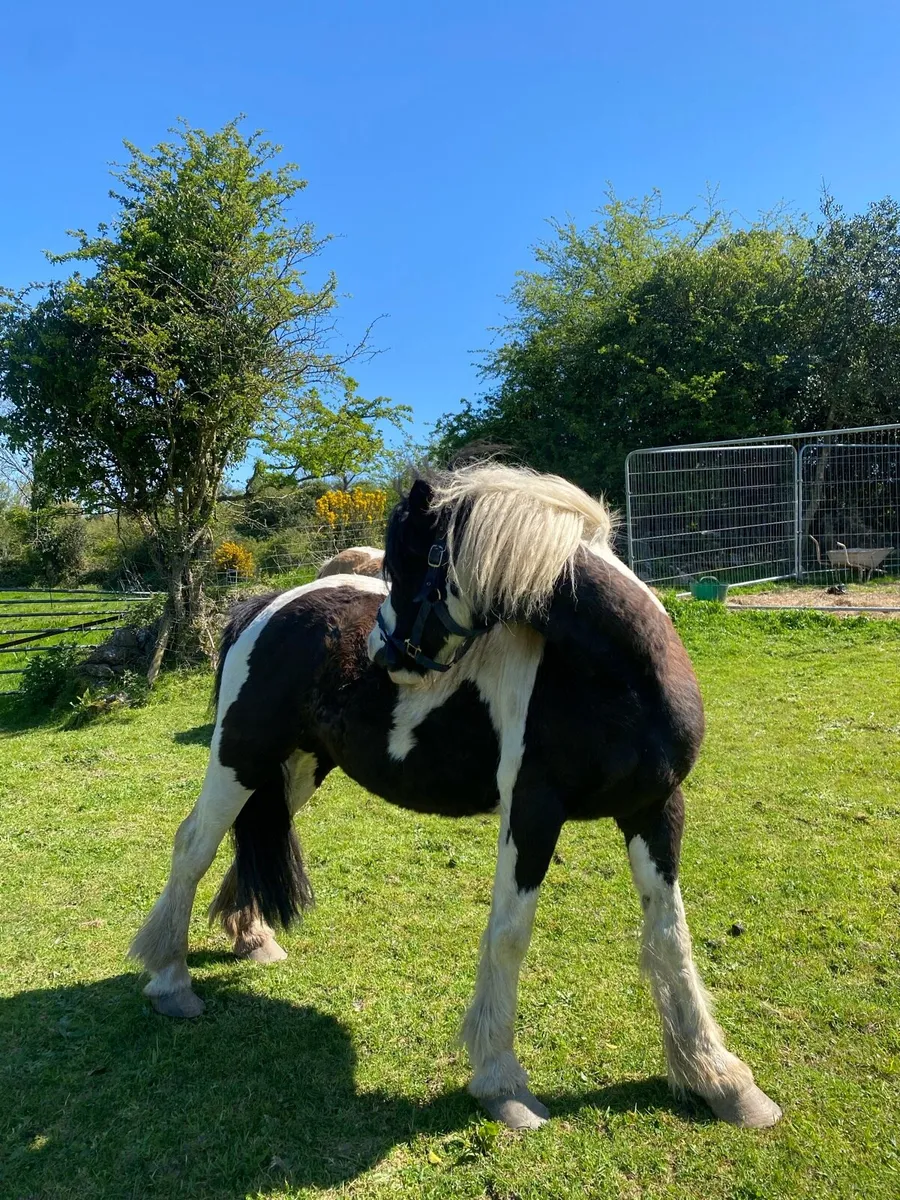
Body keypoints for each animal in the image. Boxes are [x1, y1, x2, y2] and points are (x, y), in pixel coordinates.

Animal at [130, 464, 782, 1132]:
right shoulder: (532, 813)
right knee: (193, 844)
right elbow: (510, 935)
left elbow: (670, 935)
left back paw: (251, 937)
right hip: (240, 755)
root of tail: (269, 605)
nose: (379, 652)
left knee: (252, 835)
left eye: (408, 562)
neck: (618, 679)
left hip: (299, 766)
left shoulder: (656, 809)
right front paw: (502, 1082)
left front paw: (720, 1079)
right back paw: (171, 978)